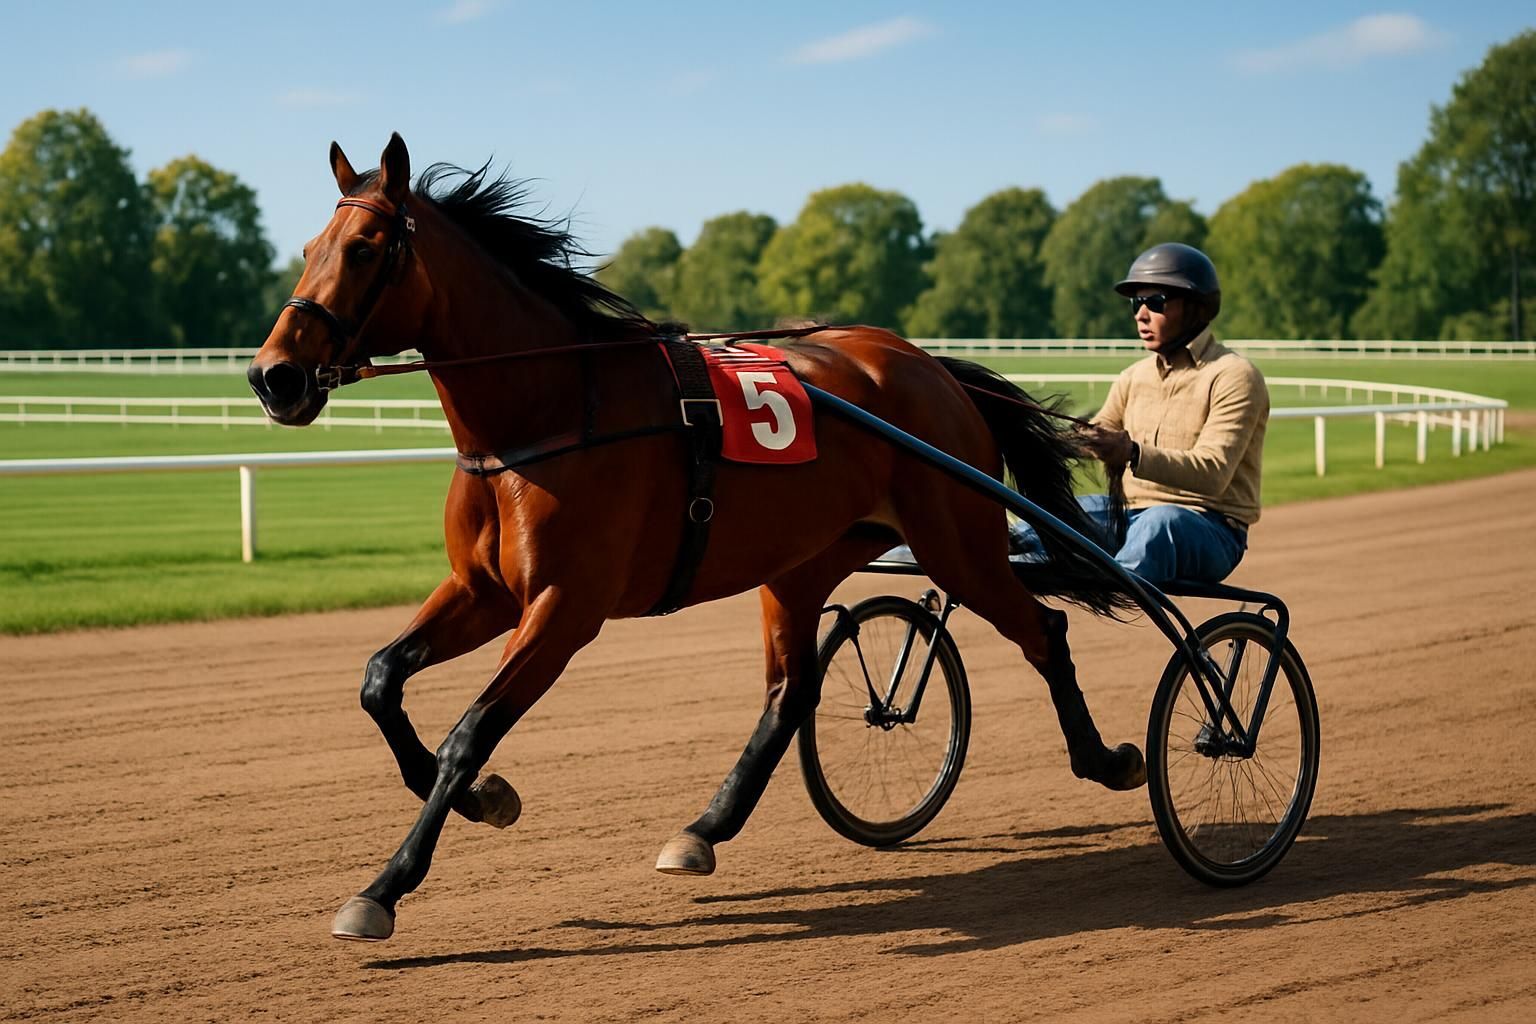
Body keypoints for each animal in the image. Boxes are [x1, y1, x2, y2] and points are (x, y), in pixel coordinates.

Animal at [247, 133, 1146, 943]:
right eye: (310, 247)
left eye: (364, 249)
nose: (271, 376)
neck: (547, 411)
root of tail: (932, 369)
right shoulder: (485, 592)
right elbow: (380, 680)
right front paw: (479, 797)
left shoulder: (566, 607)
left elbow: (470, 730)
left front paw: (385, 887)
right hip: (801, 565)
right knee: (791, 695)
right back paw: (704, 829)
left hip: (957, 544)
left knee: (1044, 630)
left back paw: (1108, 760)